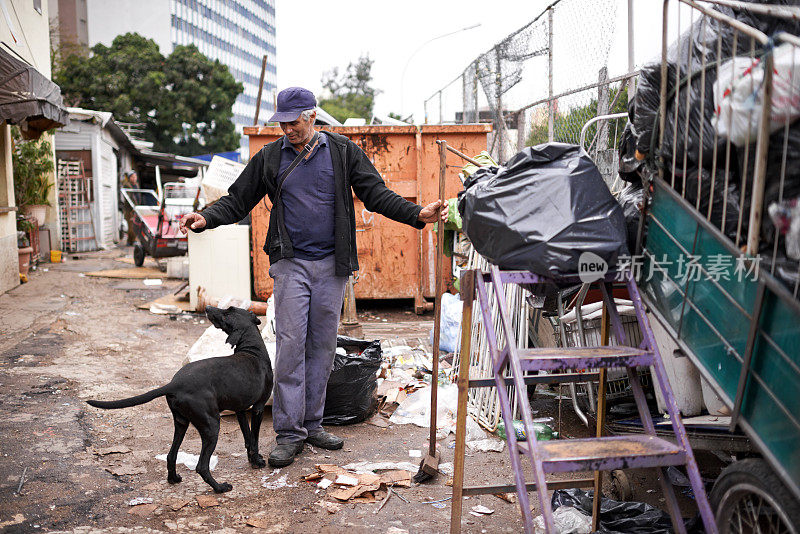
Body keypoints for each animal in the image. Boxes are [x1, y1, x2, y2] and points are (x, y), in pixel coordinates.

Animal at [87, 306, 274, 494]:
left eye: (228, 312)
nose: (207, 308)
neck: (252, 349)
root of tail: (174, 384)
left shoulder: (240, 409)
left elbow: (248, 438)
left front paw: (252, 459)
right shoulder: (258, 407)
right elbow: (255, 439)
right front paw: (257, 461)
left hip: (181, 422)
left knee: (171, 455)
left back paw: (174, 478)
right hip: (211, 426)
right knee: (201, 467)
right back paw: (220, 487)